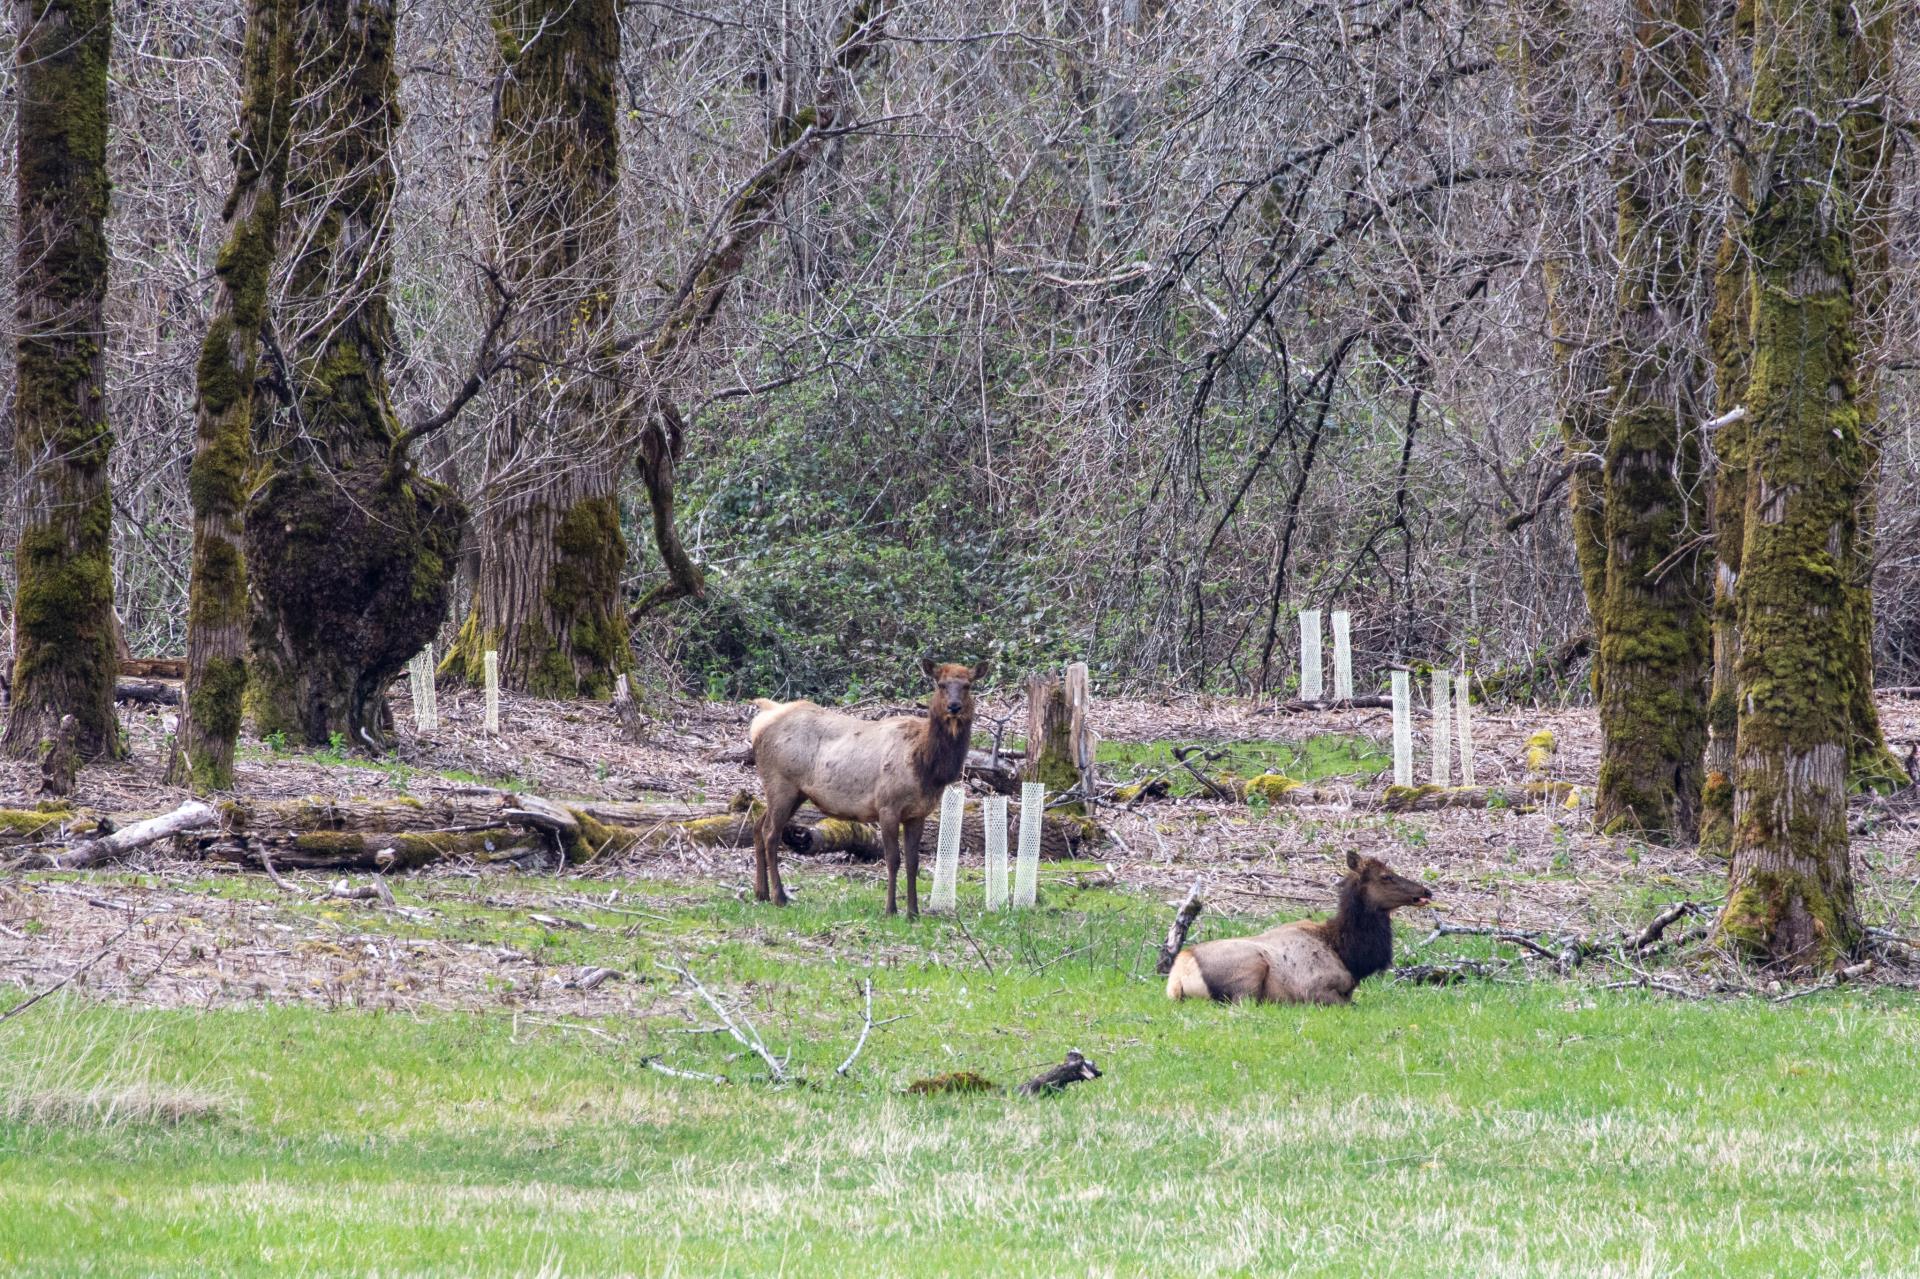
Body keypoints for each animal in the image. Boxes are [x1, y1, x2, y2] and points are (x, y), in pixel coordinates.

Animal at [744, 652, 990, 910]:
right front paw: (891, 909)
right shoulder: (887, 805)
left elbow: (913, 862)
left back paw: (761, 892)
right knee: (771, 833)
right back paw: (779, 896)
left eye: (967, 685)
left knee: (758, 826)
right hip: (781, 782)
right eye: (941, 684)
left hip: (793, 792)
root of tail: (759, 722)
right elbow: (893, 859)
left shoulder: (918, 813)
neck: (926, 767)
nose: (954, 706)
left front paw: (913, 912)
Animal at [1159, 852, 1436, 998]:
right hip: (1251, 970)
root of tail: (1177, 979)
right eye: (1386, 876)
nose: (1426, 891)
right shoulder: (1319, 990)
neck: (1348, 955)